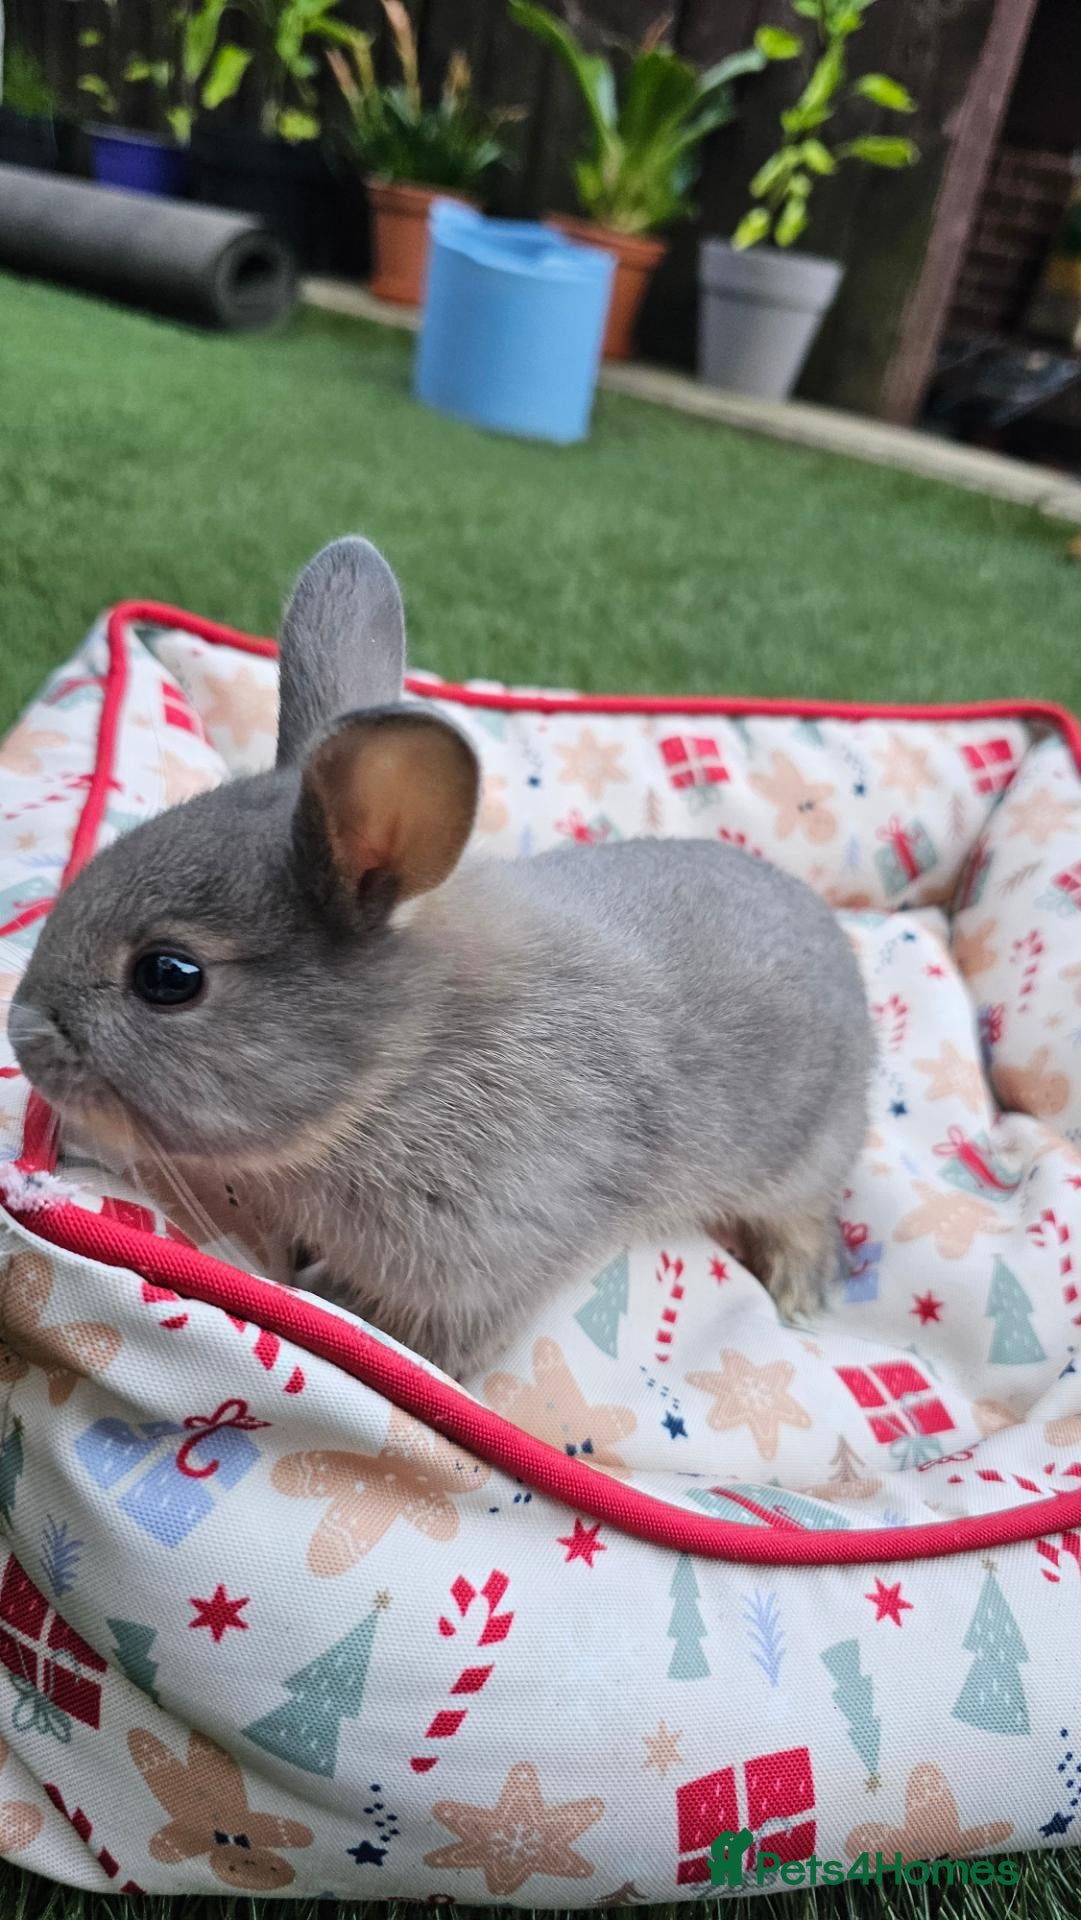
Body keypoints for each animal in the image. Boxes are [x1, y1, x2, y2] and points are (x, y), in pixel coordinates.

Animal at [8, 536, 873, 1382]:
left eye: (167, 976)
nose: (21, 1032)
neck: (403, 1064)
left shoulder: (488, 1261)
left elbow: (440, 1346)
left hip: (803, 1154)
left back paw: (798, 1290)